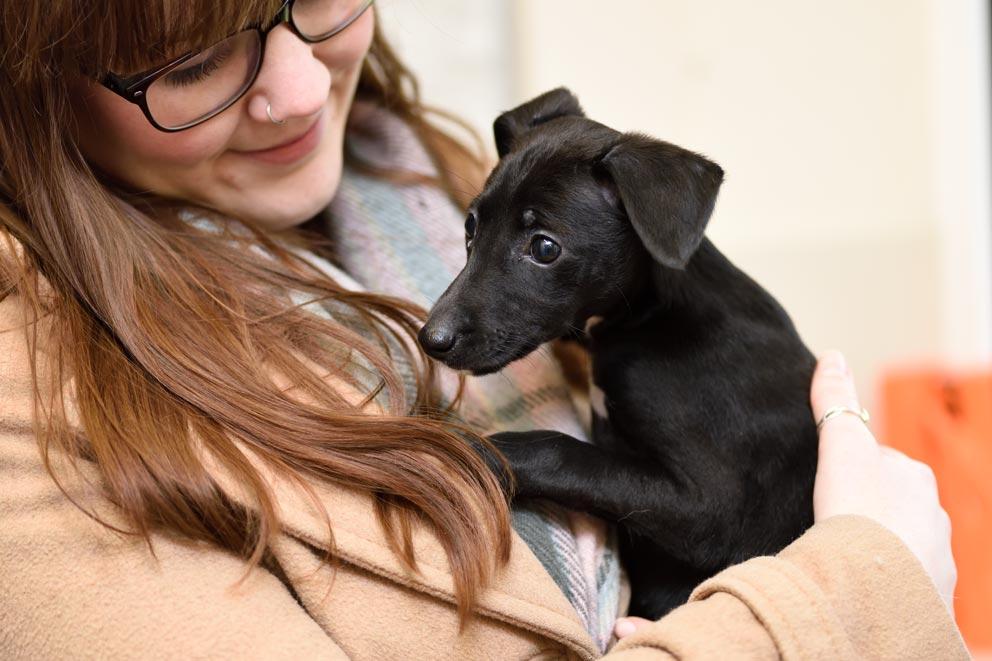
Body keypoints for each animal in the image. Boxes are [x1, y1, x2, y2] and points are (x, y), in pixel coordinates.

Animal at [418, 89, 812, 620]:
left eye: (544, 247)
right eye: (470, 228)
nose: (431, 339)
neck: (650, 319)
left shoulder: (715, 506)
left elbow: (560, 450)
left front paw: (468, 446)